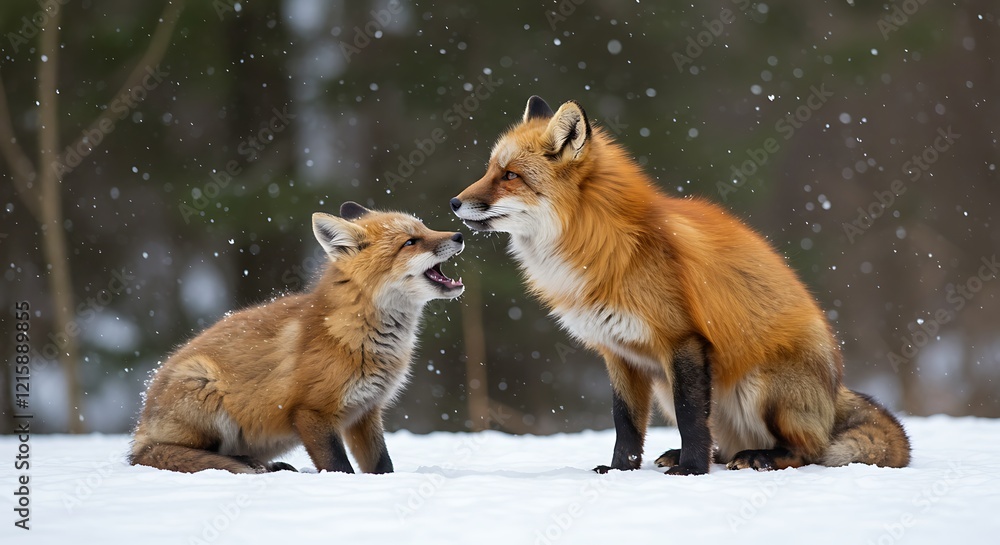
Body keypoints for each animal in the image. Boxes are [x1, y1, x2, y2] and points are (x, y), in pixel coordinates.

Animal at [130, 202, 465, 474]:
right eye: (410, 242)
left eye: (425, 228)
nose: (460, 235)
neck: (358, 335)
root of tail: (140, 430)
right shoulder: (311, 412)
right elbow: (337, 465)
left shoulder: (365, 411)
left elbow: (382, 463)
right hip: (205, 389)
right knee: (182, 454)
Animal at [451, 96, 910, 475]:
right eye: (490, 170)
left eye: (510, 175)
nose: (454, 202)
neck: (604, 247)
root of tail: (835, 391)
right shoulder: (618, 352)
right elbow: (625, 423)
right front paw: (620, 471)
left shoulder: (681, 339)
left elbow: (691, 418)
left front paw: (691, 471)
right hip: (668, 388)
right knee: (725, 443)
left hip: (758, 385)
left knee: (807, 450)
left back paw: (760, 457)